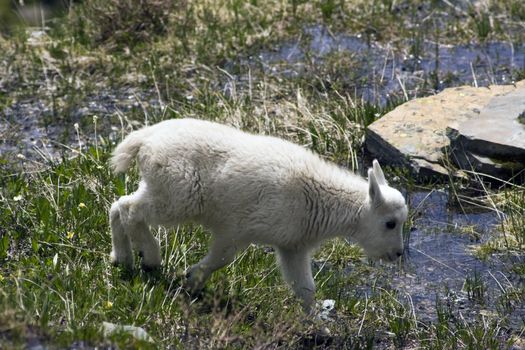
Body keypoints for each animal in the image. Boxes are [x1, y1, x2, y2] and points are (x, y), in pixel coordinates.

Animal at [108, 117, 408, 312]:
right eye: (390, 223)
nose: (397, 254)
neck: (318, 198)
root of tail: (145, 139)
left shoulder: (293, 245)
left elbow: (305, 287)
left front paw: (314, 325)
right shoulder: (238, 228)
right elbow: (222, 258)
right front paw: (193, 279)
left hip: (160, 187)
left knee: (119, 205)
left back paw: (122, 258)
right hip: (178, 194)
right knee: (130, 209)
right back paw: (150, 258)